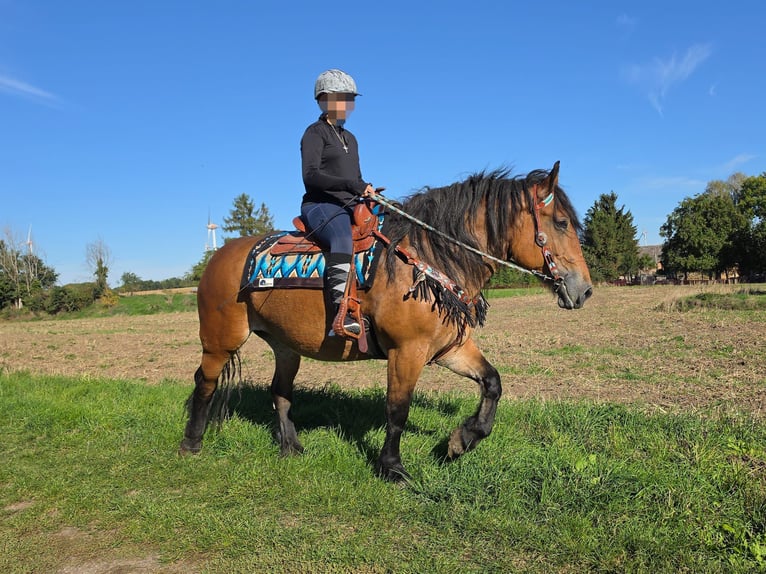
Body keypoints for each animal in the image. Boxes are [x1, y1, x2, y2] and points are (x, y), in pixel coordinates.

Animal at [180, 161, 593, 481]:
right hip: (220, 339)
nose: (584, 290)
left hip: (286, 346)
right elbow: (397, 410)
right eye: (560, 222)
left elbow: (492, 383)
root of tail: (219, 257)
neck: (429, 259)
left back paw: (291, 447)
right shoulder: (405, 351)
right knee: (205, 382)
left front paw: (462, 440)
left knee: (279, 392)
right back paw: (192, 442)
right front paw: (392, 467)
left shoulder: (450, 348)